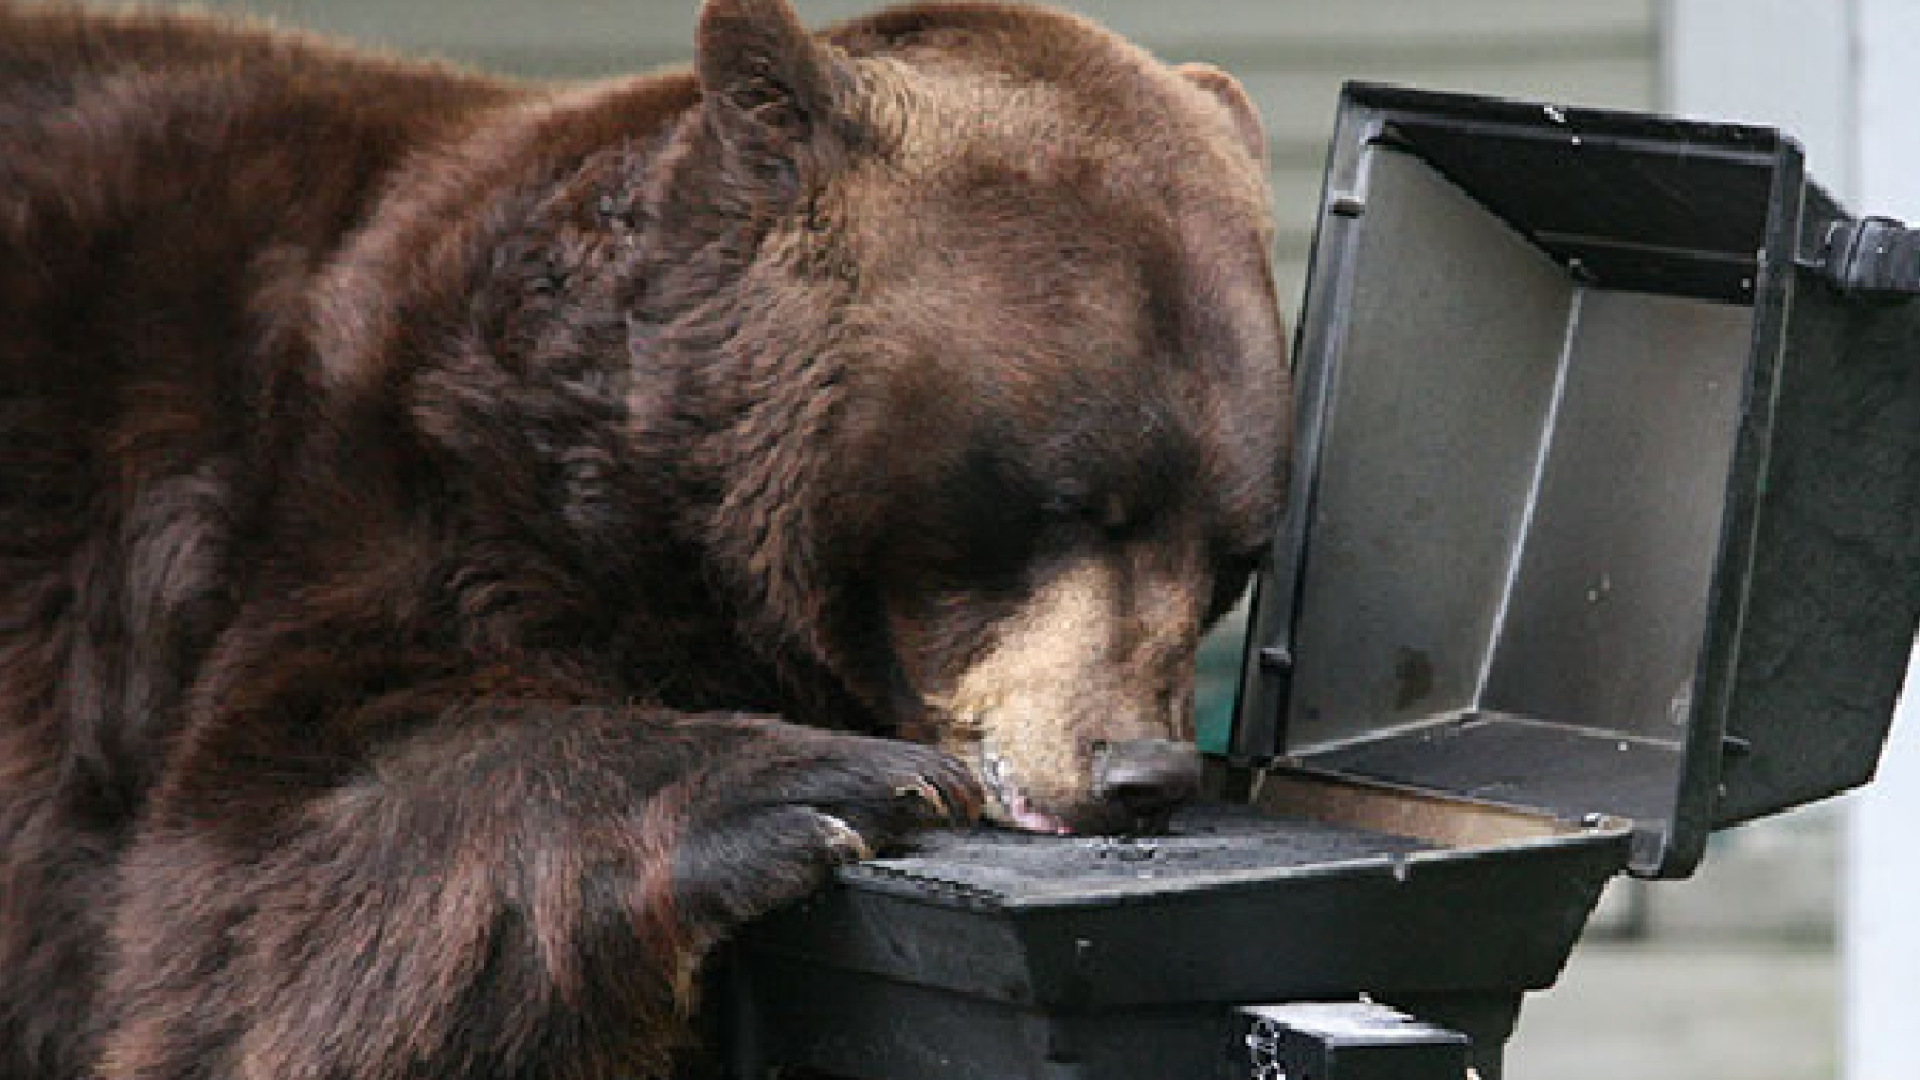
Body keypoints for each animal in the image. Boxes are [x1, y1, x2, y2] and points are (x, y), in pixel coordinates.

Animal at [0, 1, 1291, 1077]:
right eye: (1074, 500)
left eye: (1233, 556)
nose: (1142, 771)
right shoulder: (393, 482)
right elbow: (259, 867)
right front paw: (824, 787)